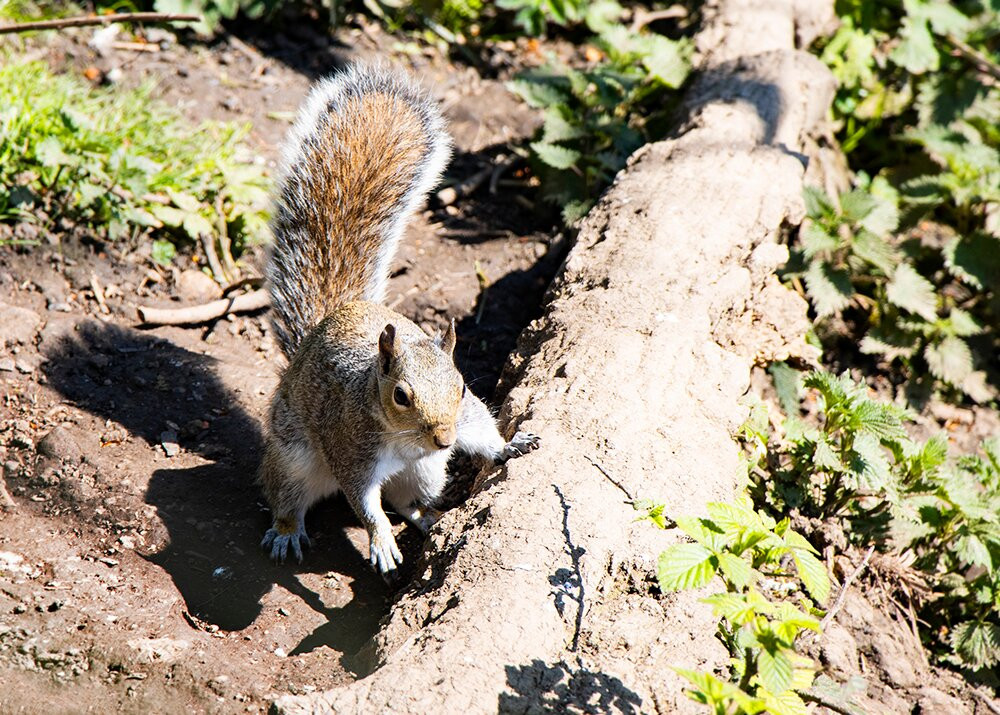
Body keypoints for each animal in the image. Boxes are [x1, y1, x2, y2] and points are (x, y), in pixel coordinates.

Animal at [258, 61, 540, 576]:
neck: (403, 437)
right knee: (286, 493)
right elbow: (364, 501)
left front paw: (508, 446)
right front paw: (380, 540)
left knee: (407, 500)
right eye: (401, 396)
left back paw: (430, 518)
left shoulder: (458, 424)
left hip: (425, 472)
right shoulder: (350, 449)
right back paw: (287, 531)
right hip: (294, 456)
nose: (446, 439)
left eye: (462, 387)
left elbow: (482, 432)